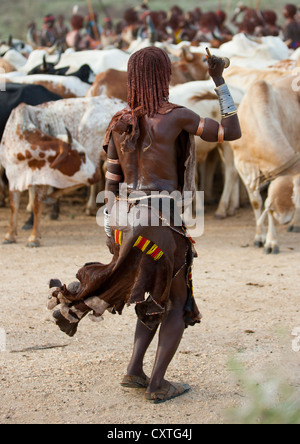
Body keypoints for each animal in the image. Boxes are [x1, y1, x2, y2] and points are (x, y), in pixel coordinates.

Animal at [230, 76, 300, 253]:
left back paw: (296, 224)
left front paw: (271, 242)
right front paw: (259, 237)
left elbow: (268, 201)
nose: (285, 218)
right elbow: (257, 202)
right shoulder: (242, 164)